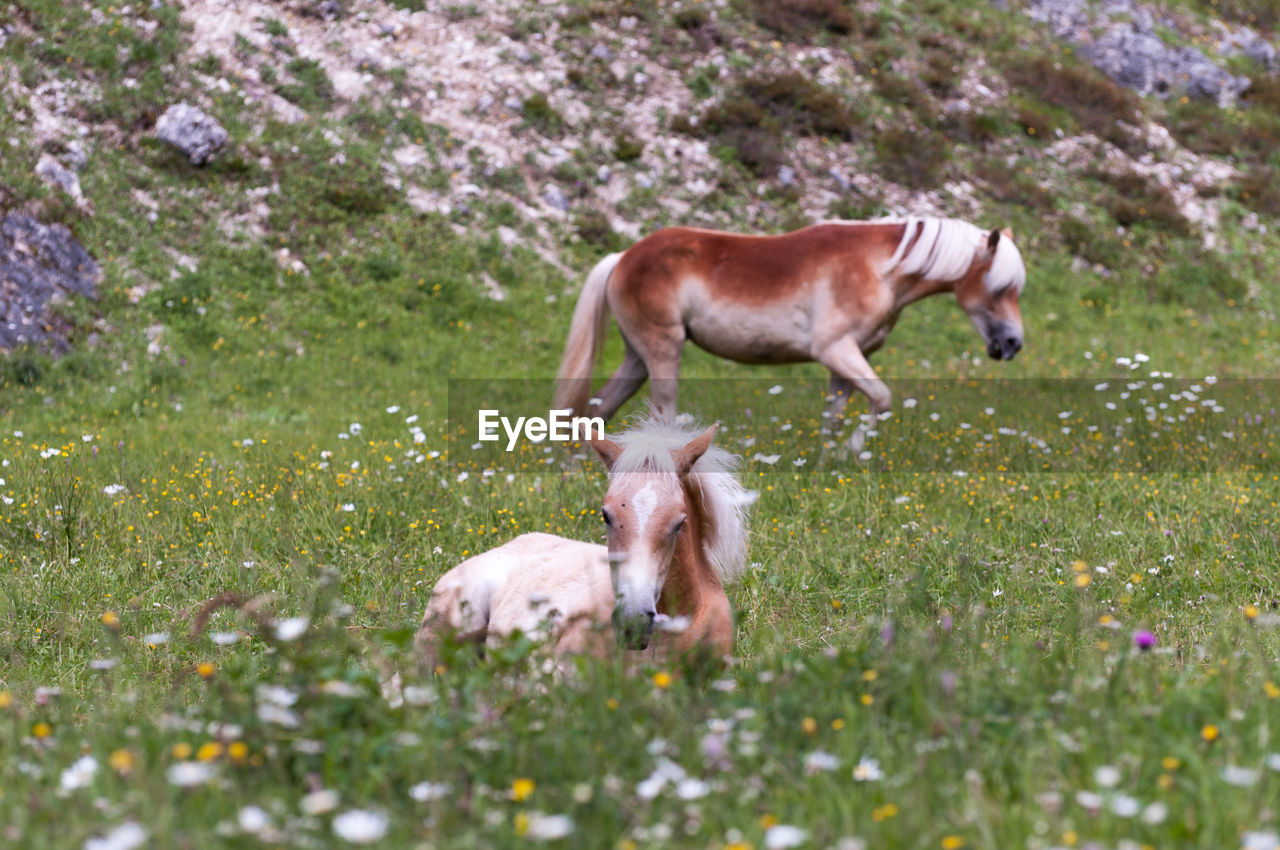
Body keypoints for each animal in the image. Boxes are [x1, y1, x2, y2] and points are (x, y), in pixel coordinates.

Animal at [555, 216, 1024, 445]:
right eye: (1000, 287)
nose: (1013, 344)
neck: (878, 267)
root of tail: (622, 257)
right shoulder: (836, 350)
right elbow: (882, 398)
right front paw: (855, 449)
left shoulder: (847, 362)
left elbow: (835, 415)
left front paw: (829, 463)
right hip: (663, 351)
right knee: (659, 413)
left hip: (637, 358)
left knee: (595, 411)